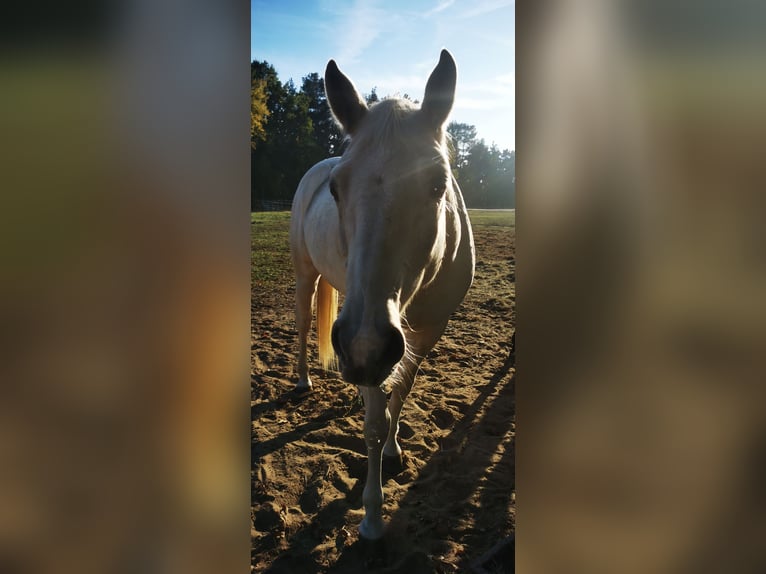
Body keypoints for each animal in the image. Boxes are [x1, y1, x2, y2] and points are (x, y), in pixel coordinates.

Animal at [292, 51, 476, 544]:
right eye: (336, 188)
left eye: (438, 185)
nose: (363, 348)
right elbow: (373, 423)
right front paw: (372, 517)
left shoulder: (427, 332)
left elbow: (402, 390)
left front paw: (394, 447)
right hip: (307, 277)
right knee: (303, 324)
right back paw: (304, 380)